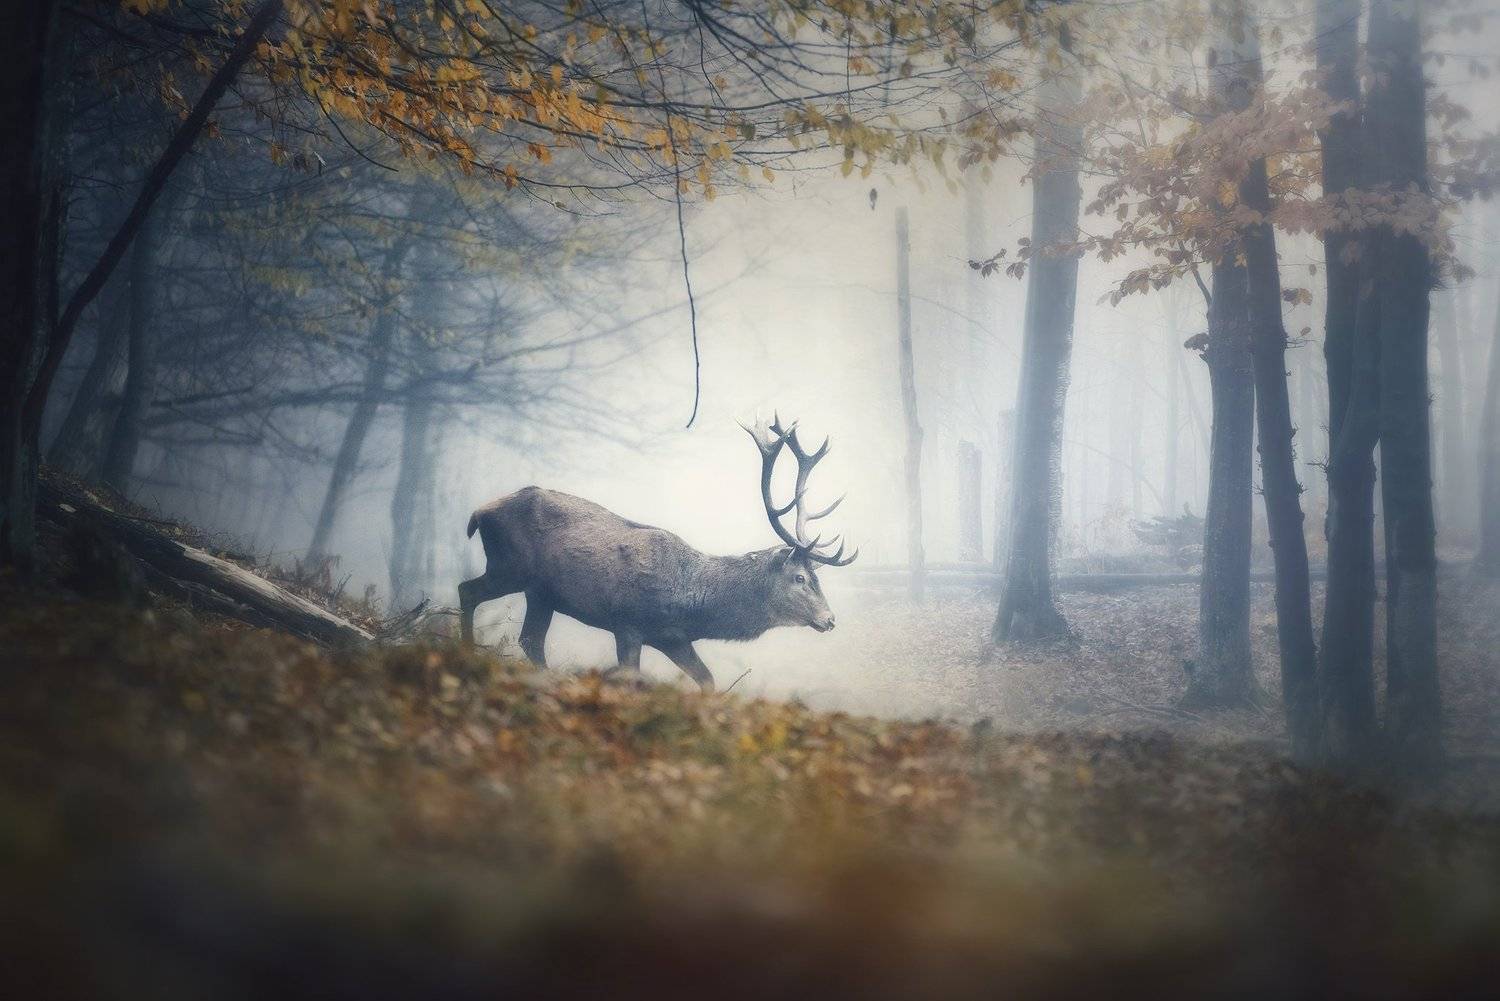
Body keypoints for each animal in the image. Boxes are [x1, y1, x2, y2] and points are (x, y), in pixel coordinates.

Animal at [458, 416, 857, 690]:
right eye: (800, 577)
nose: (830, 619)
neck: (691, 602)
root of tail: (478, 513)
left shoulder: (673, 639)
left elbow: (708, 680)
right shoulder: (627, 623)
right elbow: (630, 675)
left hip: (540, 592)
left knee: (531, 640)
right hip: (510, 567)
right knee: (468, 591)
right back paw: (467, 652)